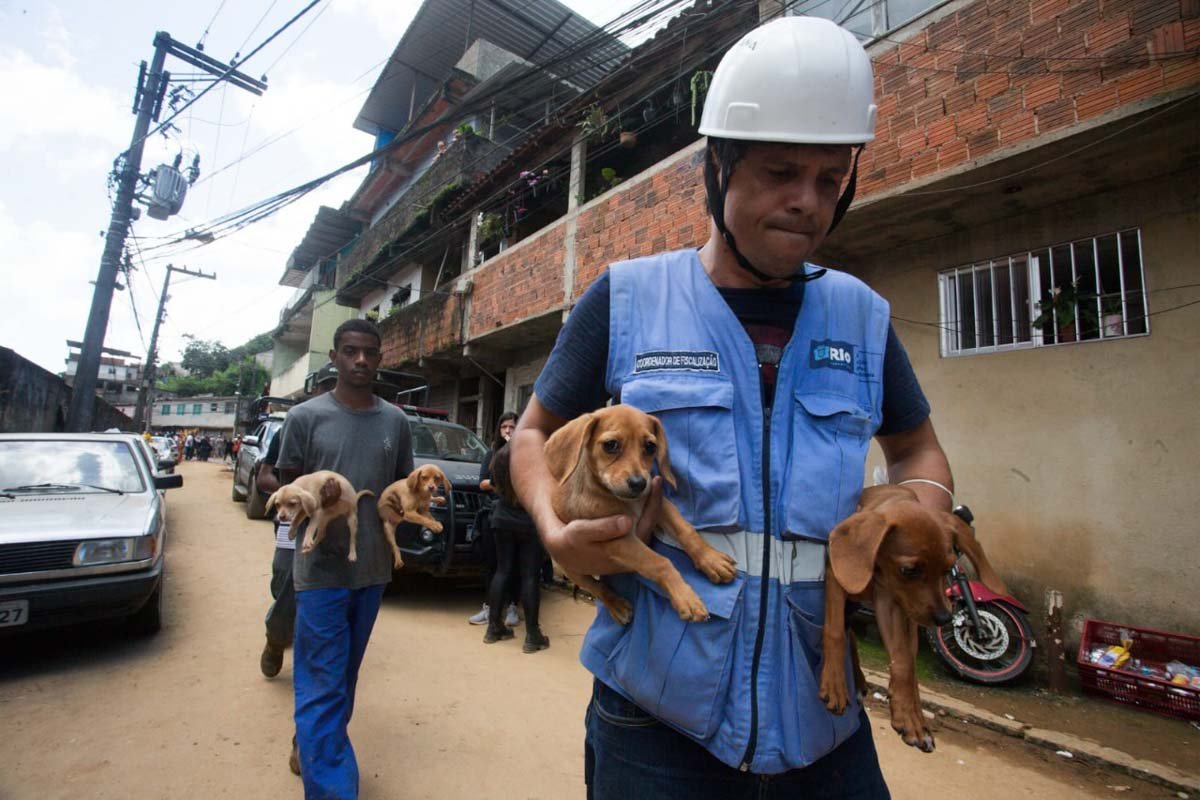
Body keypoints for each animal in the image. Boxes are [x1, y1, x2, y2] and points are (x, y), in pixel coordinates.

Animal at [547, 402, 739, 623]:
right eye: (610, 445)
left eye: (650, 447)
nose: (639, 484)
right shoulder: (617, 537)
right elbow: (659, 562)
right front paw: (686, 597)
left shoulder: (659, 502)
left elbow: (686, 530)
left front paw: (711, 560)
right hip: (572, 569)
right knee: (598, 587)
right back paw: (617, 605)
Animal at [820, 484, 1008, 753]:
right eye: (909, 570)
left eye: (947, 569)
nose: (944, 617)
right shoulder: (837, 576)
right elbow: (834, 631)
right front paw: (835, 684)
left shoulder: (891, 604)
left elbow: (904, 663)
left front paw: (908, 718)